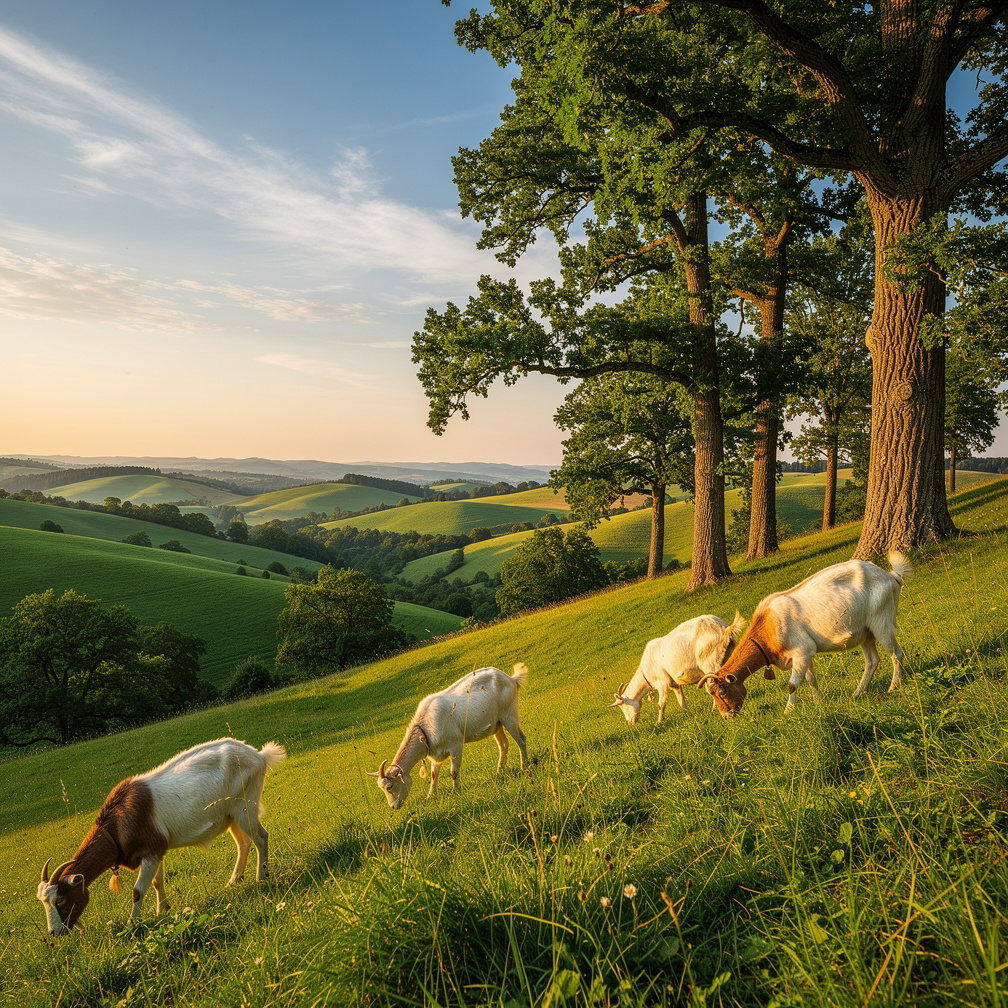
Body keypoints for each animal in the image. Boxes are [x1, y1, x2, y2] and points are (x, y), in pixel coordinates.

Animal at [36, 737, 286, 934]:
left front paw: (132, 924)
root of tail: (259, 755)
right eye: (43, 902)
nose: (54, 933)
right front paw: (162, 910)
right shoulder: (156, 850)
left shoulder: (151, 850)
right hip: (229, 814)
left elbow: (138, 891)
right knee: (243, 843)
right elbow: (156, 882)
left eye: (60, 899)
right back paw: (234, 880)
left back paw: (261, 877)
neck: (117, 824)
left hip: (245, 805)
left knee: (260, 837)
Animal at [368, 664, 529, 809]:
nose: (393, 807)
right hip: (496, 723)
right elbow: (433, 775)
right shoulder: (435, 753)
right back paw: (499, 771)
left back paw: (524, 765)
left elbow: (453, 772)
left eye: (389, 786)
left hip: (509, 713)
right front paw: (430, 796)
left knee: (521, 739)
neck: (424, 727)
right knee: (503, 744)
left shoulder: (455, 745)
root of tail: (511, 679)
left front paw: (455, 791)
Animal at [609, 613, 746, 724]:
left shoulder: (663, 683)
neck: (646, 670)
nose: (630, 723)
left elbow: (661, 704)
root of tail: (724, 629)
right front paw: (687, 714)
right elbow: (681, 700)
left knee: (713, 684)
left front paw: (659, 723)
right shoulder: (674, 684)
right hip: (727, 654)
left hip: (710, 661)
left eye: (623, 706)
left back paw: (715, 708)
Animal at [697, 552, 912, 719]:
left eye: (722, 690)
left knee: (896, 654)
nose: (727, 716)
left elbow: (792, 685)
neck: (768, 627)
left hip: (882, 620)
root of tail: (891, 575)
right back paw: (857, 693)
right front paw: (818, 702)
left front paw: (788, 711)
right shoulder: (804, 654)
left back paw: (893, 687)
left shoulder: (802, 650)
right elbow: (811, 679)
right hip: (865, 632)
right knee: (872, 661)